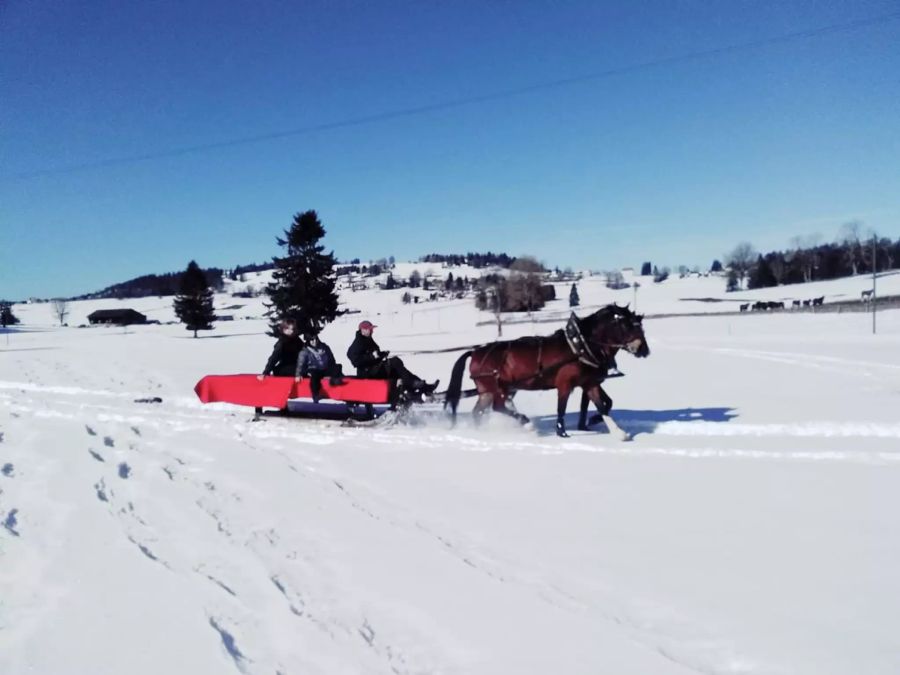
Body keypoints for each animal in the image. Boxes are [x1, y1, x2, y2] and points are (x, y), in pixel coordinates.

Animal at [446, 304, 652, 438]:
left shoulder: (590, 383)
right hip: (495, 388)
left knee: (481, 411)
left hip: (491, 390)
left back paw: (481, 431)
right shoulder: (565, 383)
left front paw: (618, 432)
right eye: (626, 325)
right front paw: (561, 432)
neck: (579, 346)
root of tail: (476, 351)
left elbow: (603, 405)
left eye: (640, 325)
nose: (644, 349)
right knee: (498, 407)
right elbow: (561, 407)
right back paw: (527, 424)